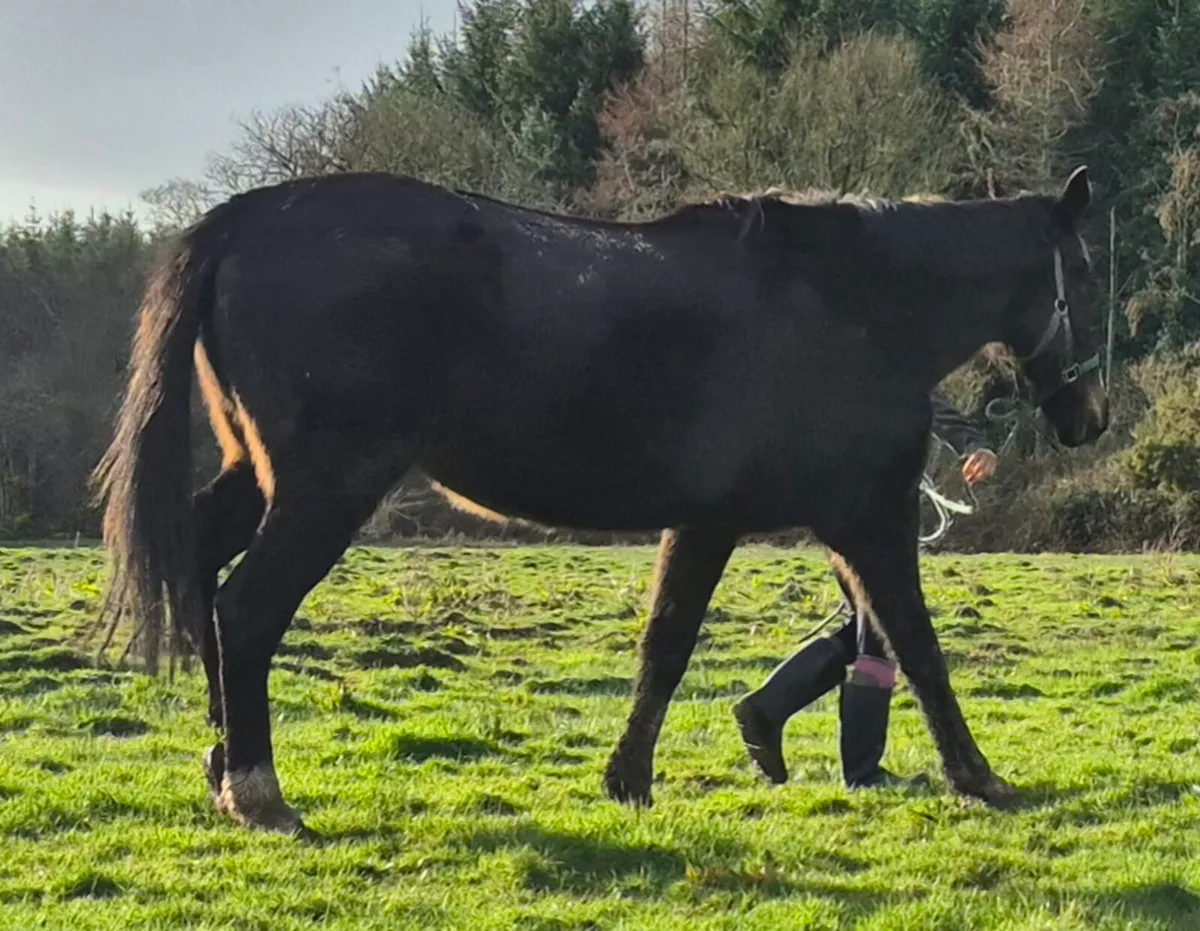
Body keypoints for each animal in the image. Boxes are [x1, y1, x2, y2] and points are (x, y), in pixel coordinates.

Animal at [94, 168, 1107, 834]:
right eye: (1089, 275)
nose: (1090, 416)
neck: (850, 305)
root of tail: (244, 219)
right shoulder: (868, 520)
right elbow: (919, 648)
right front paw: (979, 776)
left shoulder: (720, 520)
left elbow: (666, 646)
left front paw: (628, 777)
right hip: (325, 487)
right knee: (245, 608)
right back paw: (260, 790)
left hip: (262, 474)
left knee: (201, 568)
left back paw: (221, 762)